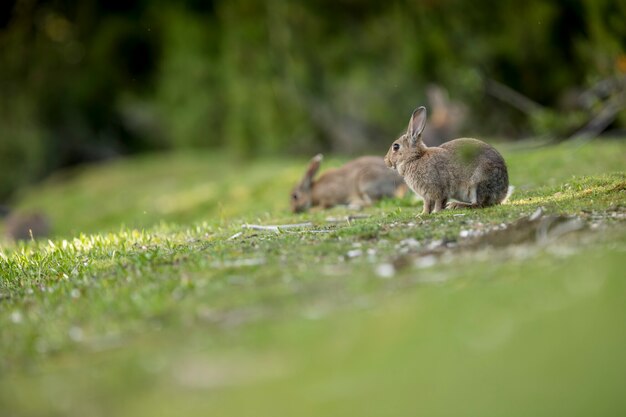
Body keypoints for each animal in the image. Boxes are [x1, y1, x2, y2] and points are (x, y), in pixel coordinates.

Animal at [382, 105, 510, 214]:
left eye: (395, 147)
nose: (386, 161)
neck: (415, 158)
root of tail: (503, 191)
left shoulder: (438, 188)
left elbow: (438, 202)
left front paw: (435, 212)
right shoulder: (427, 195)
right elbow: (427, 204)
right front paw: (423, 214)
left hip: (479, 182)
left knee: (479, 204)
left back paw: (456, 205)